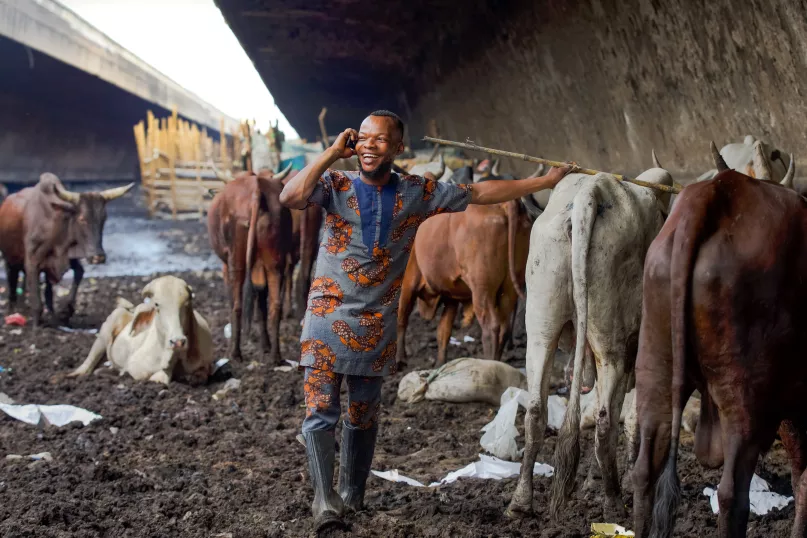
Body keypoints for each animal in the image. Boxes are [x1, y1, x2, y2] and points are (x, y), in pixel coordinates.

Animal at [0, 173, 134, 322]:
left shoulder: (69, 258)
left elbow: (79, 272)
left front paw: (66, 311)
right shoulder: (32, 262)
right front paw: (37, 323)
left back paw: (50, 312)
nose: (98, 257)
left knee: (46, 289)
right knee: (12, 280)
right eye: (82, 218)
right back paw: (13, 308)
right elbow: (36, 300)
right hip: (9, 258)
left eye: (104, 218)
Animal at [69, 274, 213, 384]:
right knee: (92, 358)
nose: (177, 341)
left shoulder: (205, 365)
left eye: (187, 304)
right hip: (109, 325)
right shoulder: (137, 367)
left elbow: (201, 374)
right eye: (156, 305)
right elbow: (154, 377)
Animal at [208, 165, 294, 362]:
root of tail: (256, 189)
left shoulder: (226, 268)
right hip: (274, 264)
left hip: (236, 263)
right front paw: (265, 345)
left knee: (237, 305)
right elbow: (261, 305)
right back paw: (275, 355)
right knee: (275, 305)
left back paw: (235, 353)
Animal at [504, 160, 676, 520]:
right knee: (605, 421)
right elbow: (633, 420)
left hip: (542, 325)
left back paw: (520, 502)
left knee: (536, 410)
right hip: (611, 344)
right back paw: (613, 503)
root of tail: (592, 192)